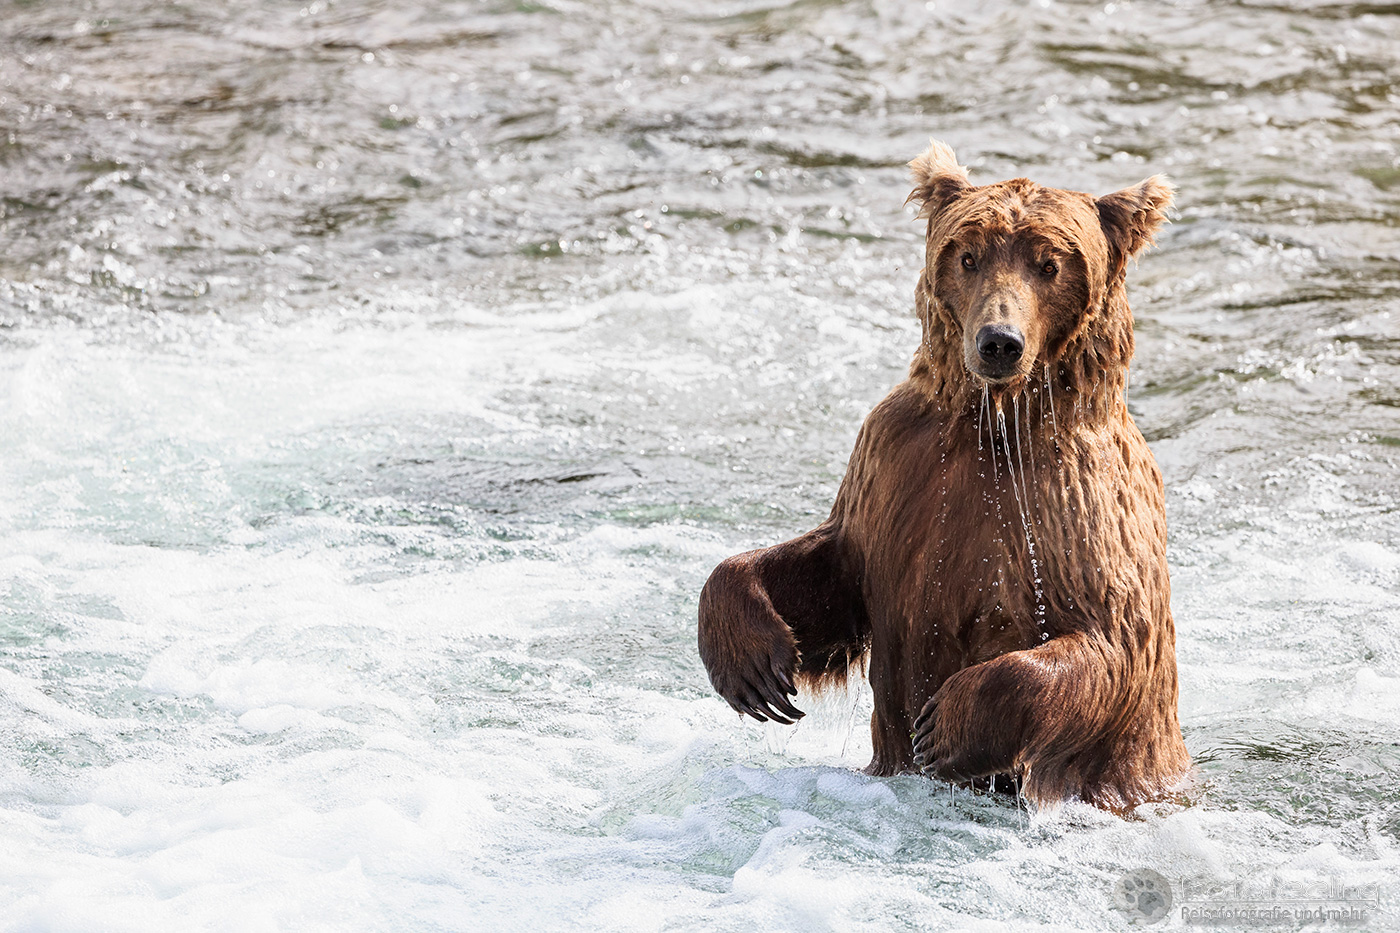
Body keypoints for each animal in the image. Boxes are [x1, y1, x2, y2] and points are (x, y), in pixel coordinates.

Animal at [696, 140, 1191, 811]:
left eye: (1050, 264)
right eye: (969, 254)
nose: (999, 341)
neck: (994, 427)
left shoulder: (1076, 506)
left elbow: (1111, 635)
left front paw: (946, 725)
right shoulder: (897, 468)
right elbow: (832, 568)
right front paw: (754, 667)